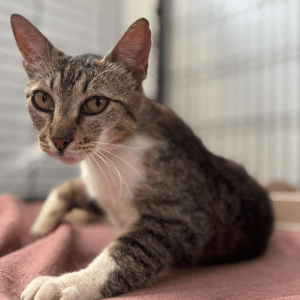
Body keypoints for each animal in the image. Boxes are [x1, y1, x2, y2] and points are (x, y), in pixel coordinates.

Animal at [11, 13, 274, 300]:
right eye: (42, 99)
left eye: (96, 104)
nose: (59, 140)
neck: (110, 159)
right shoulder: (99, 194)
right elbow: (65, 190)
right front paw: (41, 227)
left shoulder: (182, 218)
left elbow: (128, 251)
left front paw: (66, 283)